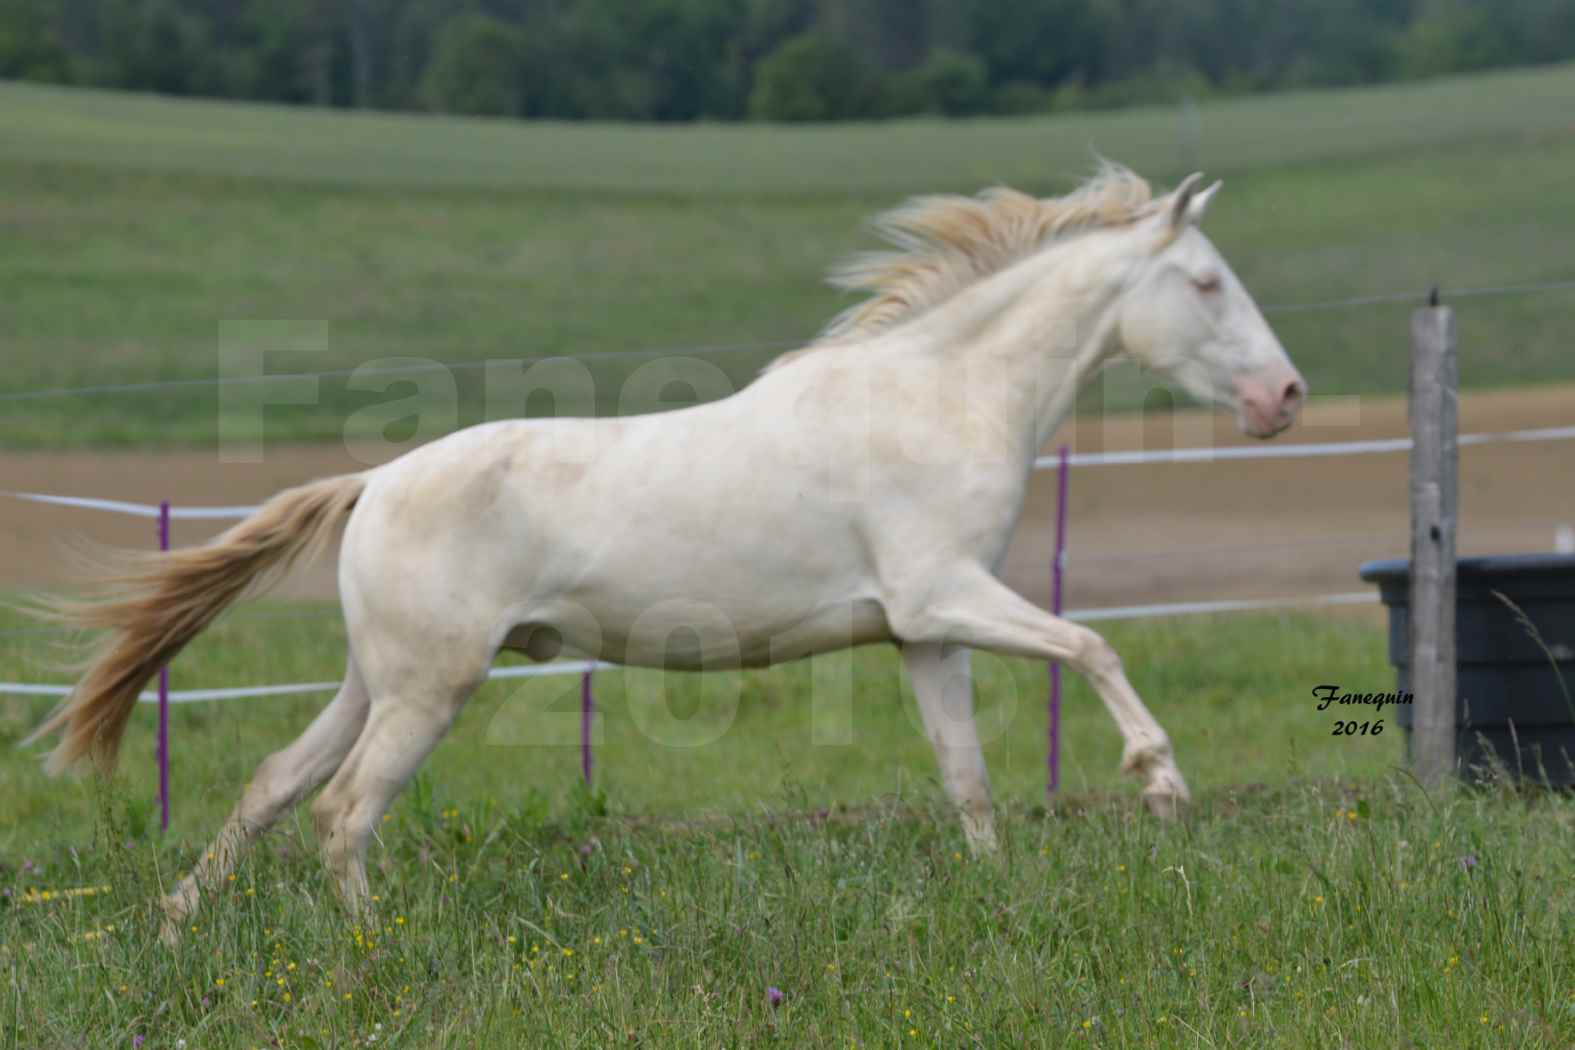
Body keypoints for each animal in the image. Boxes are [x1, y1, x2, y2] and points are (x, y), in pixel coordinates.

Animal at [24, 166, 1304, 944]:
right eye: (1205, 281)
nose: (1285, 397)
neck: (937, 398)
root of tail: (374, 484)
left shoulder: (924, 632)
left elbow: (970, 780)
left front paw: (997, 899)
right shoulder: (949, 592)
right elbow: (1090, 645)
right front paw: (1163, 788)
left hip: (372, 681)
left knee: (273, 786)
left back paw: (175, 922)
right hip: (429, 690)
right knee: (342, 813)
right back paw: (372, 946)